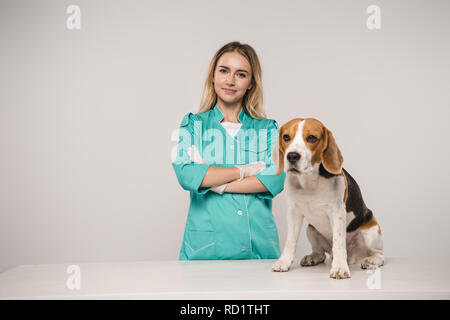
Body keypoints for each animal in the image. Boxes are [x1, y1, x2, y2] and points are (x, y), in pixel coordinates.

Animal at [270, 119, 384, 278]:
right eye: (286, 137)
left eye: (312, 138)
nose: (292, 156)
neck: (309, 182)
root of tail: (353, 256)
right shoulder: (293, 212)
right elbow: (290, 240)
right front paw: (284, 262)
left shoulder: (337, 213)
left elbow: (339, 242)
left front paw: (340, 267)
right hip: (311, 229)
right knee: (321, 253)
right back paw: (313, 257)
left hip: (371, 233)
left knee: (379, 254)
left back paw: (370, 260)